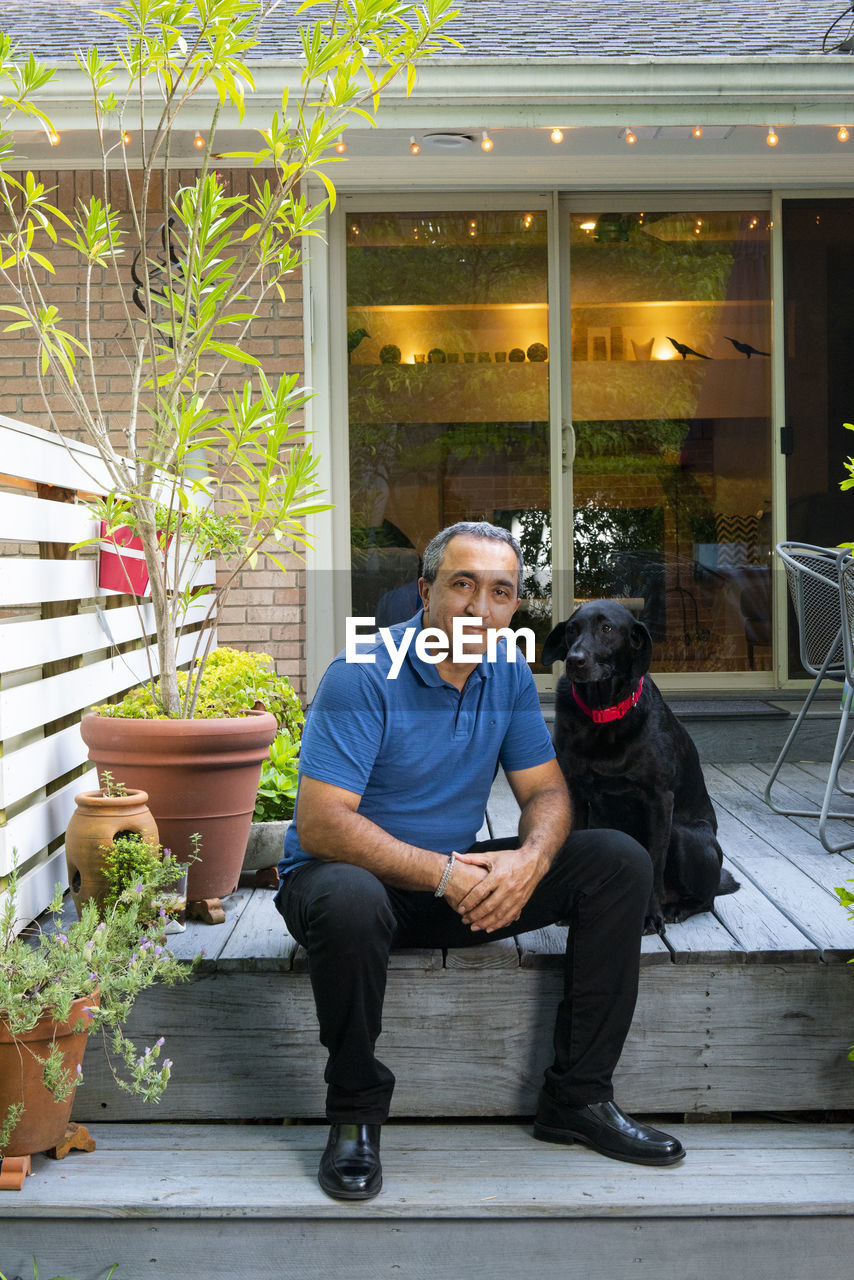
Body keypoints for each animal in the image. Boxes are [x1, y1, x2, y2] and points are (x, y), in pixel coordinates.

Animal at [545, 599, 737, 931]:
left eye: (606, 628)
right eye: (571, 630)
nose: (574, 660)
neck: (603, 715)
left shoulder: (659, 799)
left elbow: (654, 860)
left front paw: (649, 915)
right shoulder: (575, 793)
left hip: (684, 836)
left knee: (708, 899)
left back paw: (676, 908)